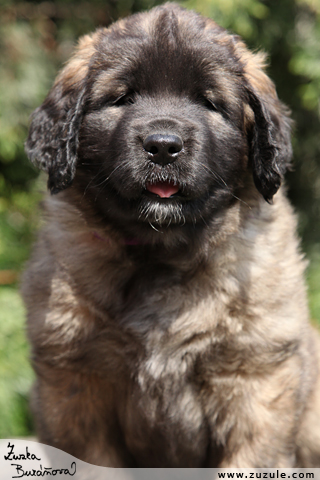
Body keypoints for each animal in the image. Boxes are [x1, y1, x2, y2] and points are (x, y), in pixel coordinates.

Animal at [22, 2, 320, 468]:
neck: (161, 251)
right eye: (122, 98)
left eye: (209, 103)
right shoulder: (77, 387)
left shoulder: (255, 380)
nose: (163, 145)